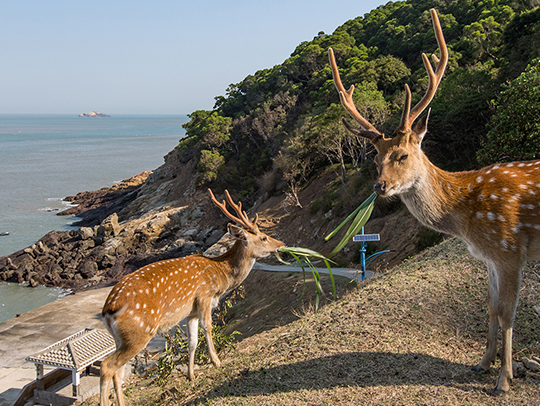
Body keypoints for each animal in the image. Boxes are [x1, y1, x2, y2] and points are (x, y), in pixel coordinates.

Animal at [99, 189, 284, 404]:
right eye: (263, 237)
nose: (281, 244)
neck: (219, 277)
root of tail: (108, 309)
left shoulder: (190, 312)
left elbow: (192, 341)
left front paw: (191, 375)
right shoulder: (204, 296)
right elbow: (208, 327)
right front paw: (217, 361)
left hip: (120, 339)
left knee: (118, 371)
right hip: (139, 332)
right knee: (107, 366)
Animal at [330, 7, 540, 396]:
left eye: (401, 154)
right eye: (374, 156)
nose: (380, 186)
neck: (467, 217)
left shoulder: (510, 250)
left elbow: (507, 313)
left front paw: (503, 380)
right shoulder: (489, 257)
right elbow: (490, 307)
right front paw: (482, 364)